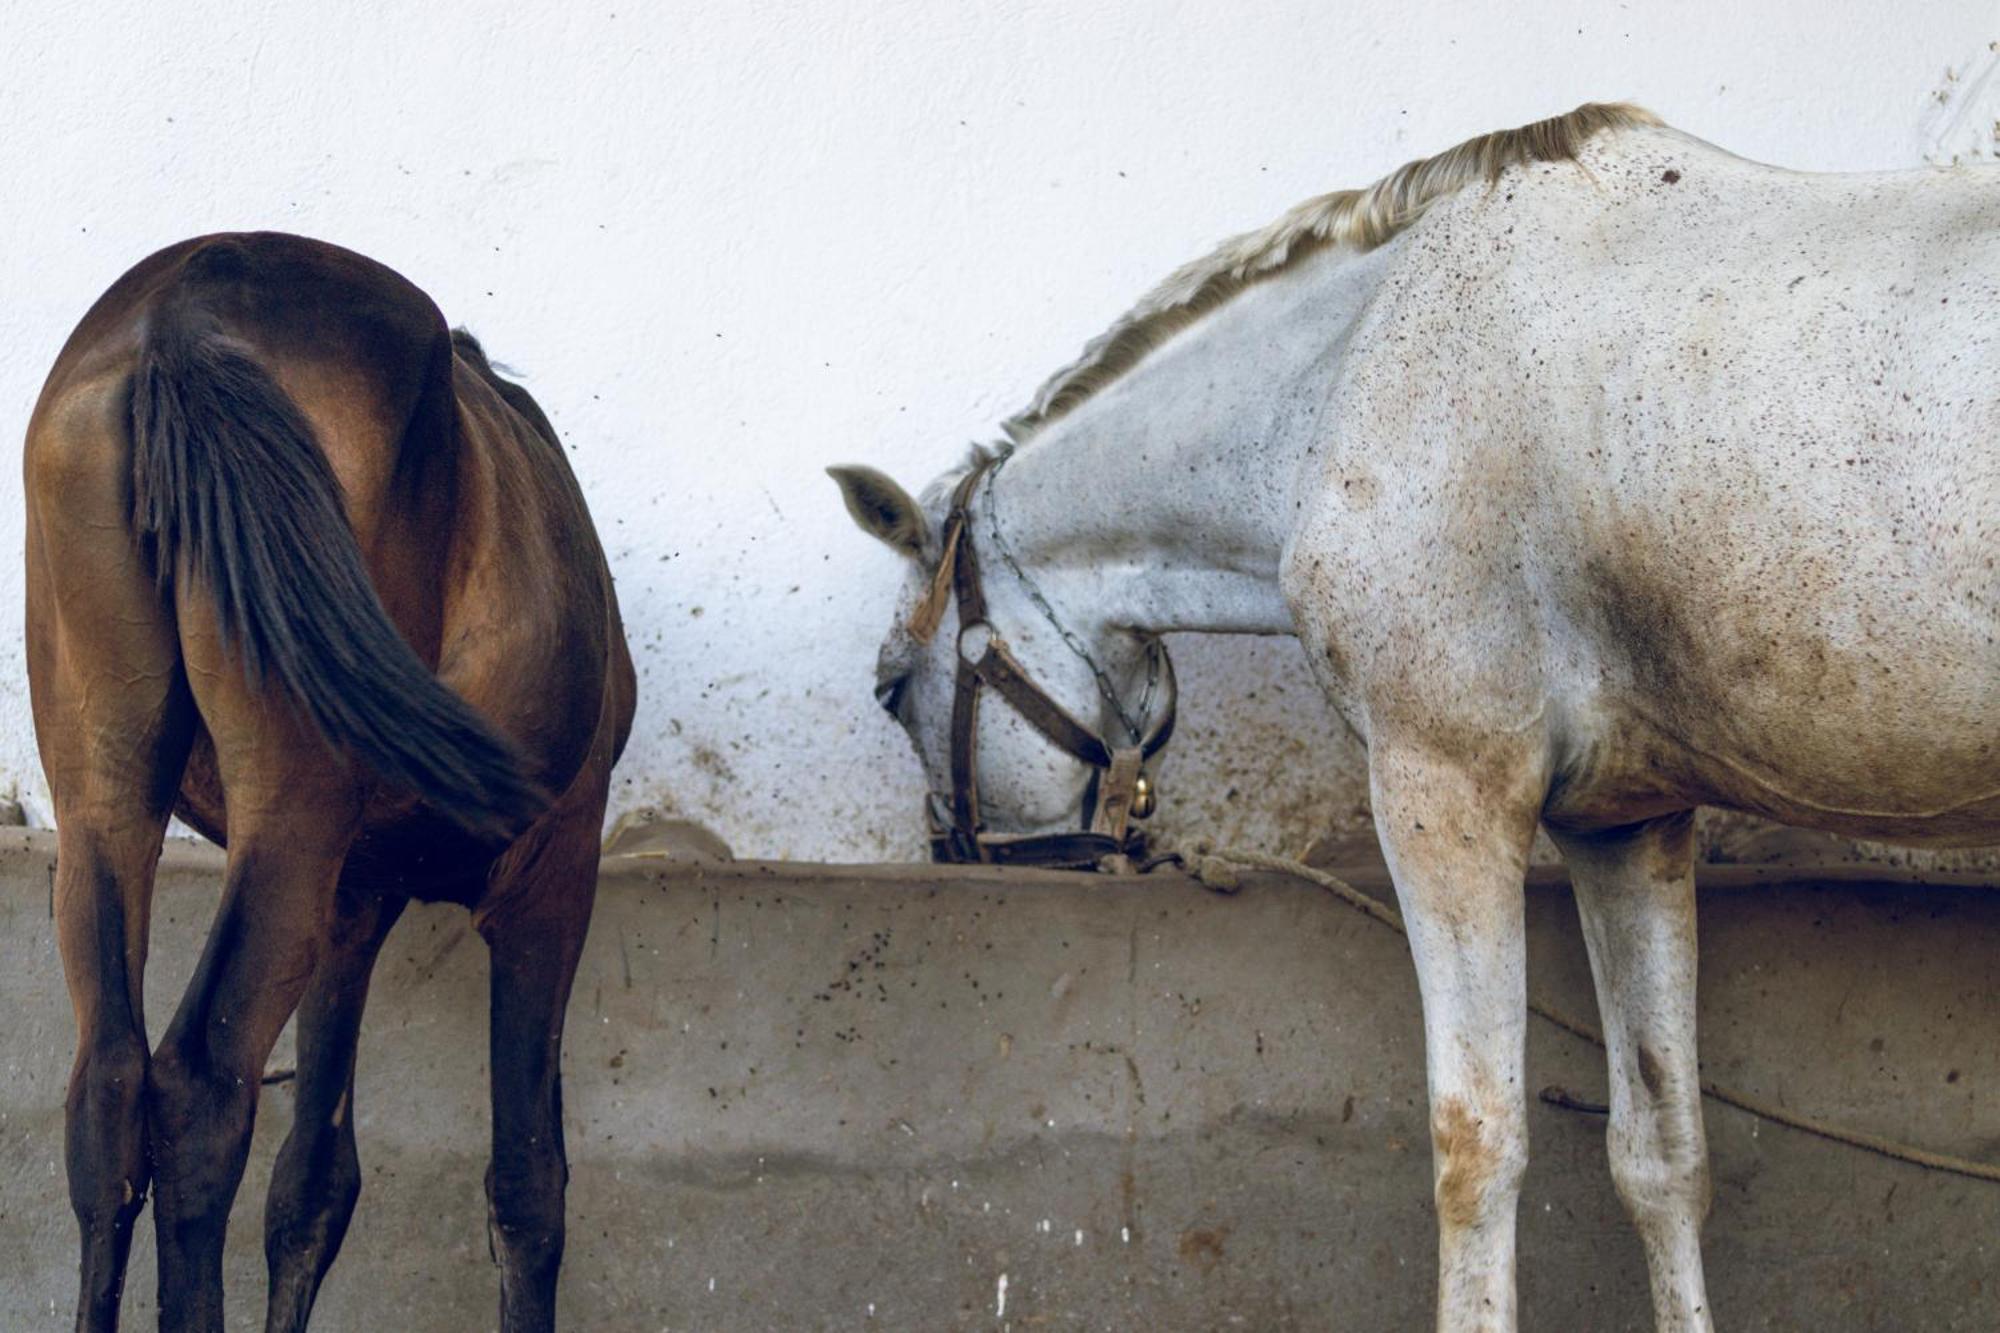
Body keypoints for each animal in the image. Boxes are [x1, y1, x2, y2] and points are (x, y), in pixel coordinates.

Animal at [31, 233, 636, 1328]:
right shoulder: (554, 873)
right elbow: (530, 1185)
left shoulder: (353, 903)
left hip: (106, 798)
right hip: (292, 817)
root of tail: (184, 312)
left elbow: (311, 1184)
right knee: (201, 1083)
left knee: (107, 1090)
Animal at [832, 106, 2000, 1328]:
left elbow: (1474, 1145)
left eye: (890, 688)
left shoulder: (1444, 789)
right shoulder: (1624, 821)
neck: (1353, 374)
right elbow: (1661, 1151)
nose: (965, 859)